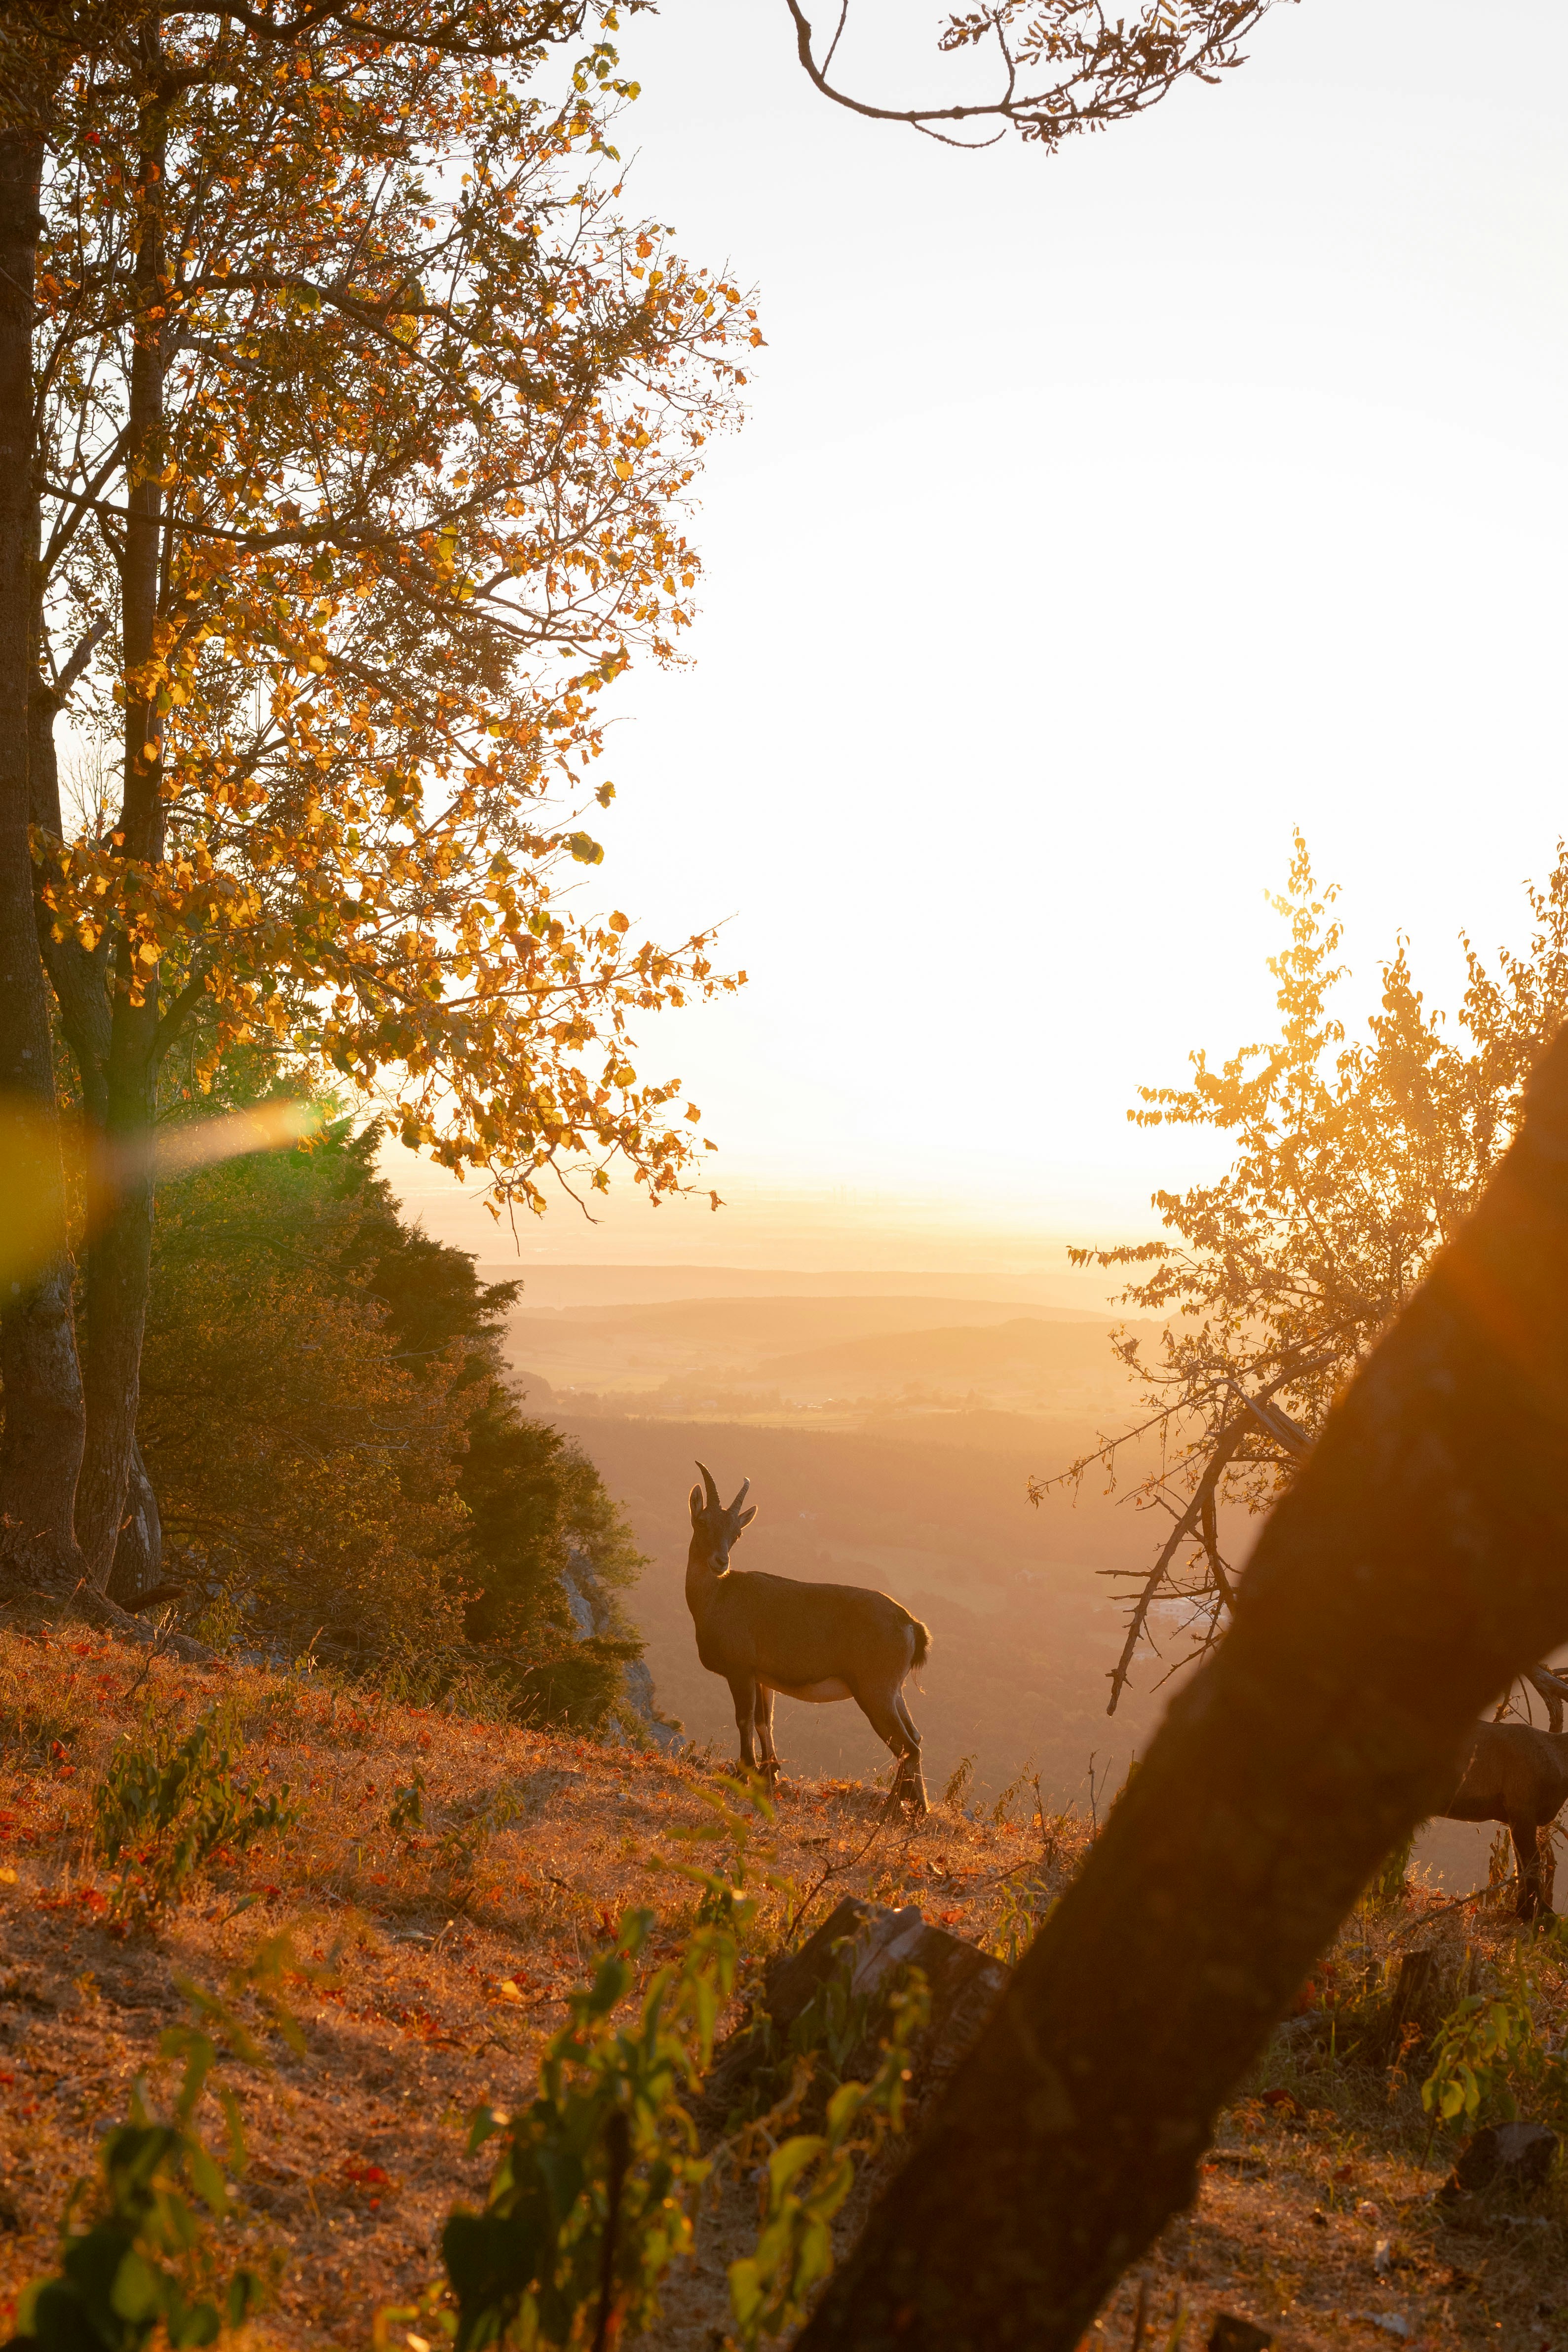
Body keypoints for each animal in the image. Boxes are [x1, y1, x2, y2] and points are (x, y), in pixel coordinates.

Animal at [684, 1462, 932, 1813]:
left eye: (737, 1533)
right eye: (703, 1522)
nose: (721, 1562)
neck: (716, 1599)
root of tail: (911, 1624)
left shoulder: (740, 1669)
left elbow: (744, 1720)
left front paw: (745, 1774)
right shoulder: (762, 1677)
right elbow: (764, 1722)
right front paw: (769, 1775)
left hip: (875, 1691)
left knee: (908, 1745)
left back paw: (896, 1809)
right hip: (894, 1691)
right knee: (916, 1738)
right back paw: (914, 1807)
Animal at [1436, 1663, 1568, 1920]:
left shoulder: (1515, 1816)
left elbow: (1521, 1863)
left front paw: (1522, 1911)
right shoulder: (1522, 1806)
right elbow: (1531, 1862)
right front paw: (1539, 1914)